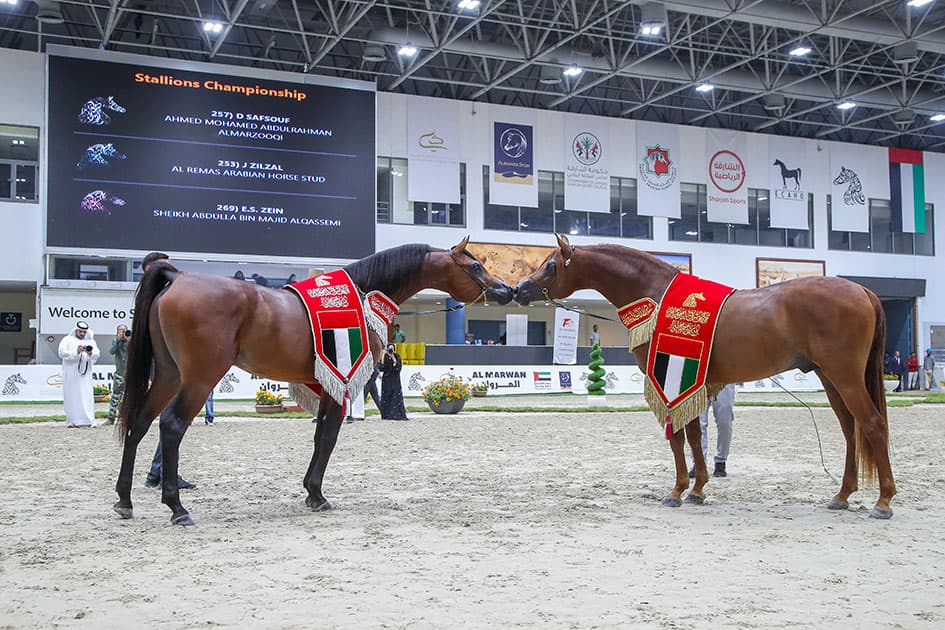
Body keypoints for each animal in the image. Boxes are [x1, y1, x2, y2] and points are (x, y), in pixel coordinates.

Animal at [114, 239, 512, 524]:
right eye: (476, 265)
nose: (506, 290)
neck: (364, 294)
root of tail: (179, 277)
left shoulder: (326, 382)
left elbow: (320, 435)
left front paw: (310, 491)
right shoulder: (341, 377)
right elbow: (329, 437)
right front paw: (318, 495)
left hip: (168, 374)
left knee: (139, 424)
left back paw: (124, 499)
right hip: (198, 379)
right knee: (170, 425)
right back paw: (177, 508)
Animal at [512, 235, 896, 520]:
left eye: (550, 265)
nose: (518, 290)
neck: (656, 293)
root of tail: (862, 291)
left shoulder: (670, 380)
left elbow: (678, 438)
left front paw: (678, 490)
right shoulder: (689, 383)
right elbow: (696, 436)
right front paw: (696, 489)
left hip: (845, 377)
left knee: (873, 425)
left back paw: (883, 501)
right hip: (831, 380)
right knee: (851, 431)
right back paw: (842, 495)